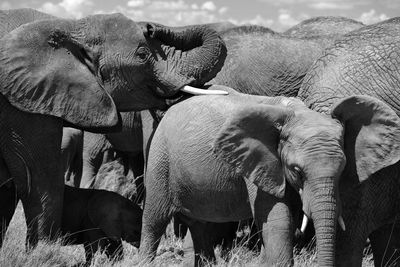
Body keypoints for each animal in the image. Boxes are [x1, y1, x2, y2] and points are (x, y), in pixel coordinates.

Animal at [0, 7, 228, 247]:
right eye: (143, 55)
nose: (150, 27)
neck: (69, 25)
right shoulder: (22, 103)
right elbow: (40, 180)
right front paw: (44, 251)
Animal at [140, 87, 396, 266]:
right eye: (296, 170)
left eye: (343, 169)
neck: (298, 114)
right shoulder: (260, 162)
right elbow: (278, 220)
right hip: (160, 157)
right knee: (154, 219)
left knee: (202, 224)